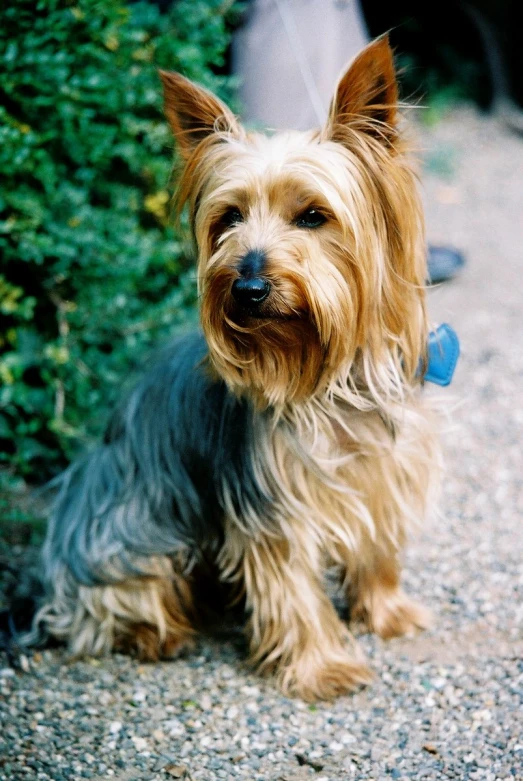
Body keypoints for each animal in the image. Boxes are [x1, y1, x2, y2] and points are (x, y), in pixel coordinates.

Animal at [34, 38, 440, 700]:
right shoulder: (272, 504)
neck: (327, 379)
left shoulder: (383, 467)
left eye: (313, 216)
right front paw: (324, 666)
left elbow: (378, 545)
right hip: (126, 529)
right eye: (228, 218)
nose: (247, 287)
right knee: (110, 601)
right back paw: (156, 634)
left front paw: (389, 612)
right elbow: (292, 585)